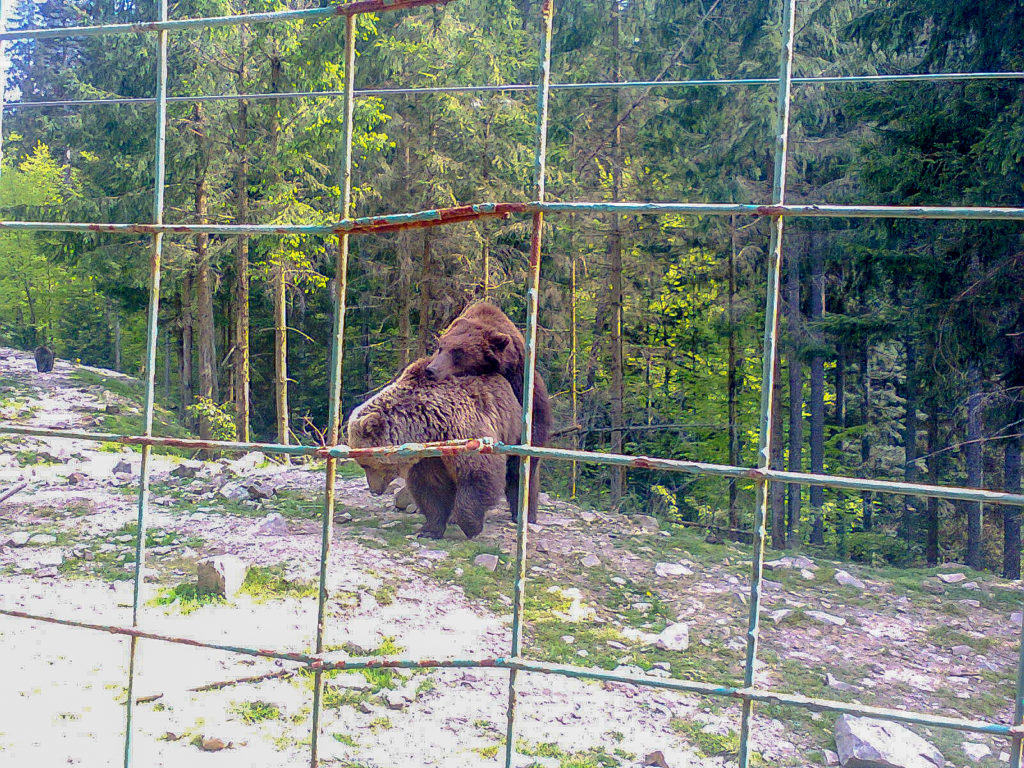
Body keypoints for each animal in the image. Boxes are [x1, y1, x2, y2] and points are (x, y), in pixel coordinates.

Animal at [346, 358, 520, 536]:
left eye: (366, 464)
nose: (374, 490)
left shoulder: (464, 429)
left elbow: (477, 471)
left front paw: (471, 526)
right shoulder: (428, 457)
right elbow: (432, 485)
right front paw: (430, 529)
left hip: (512, 428)